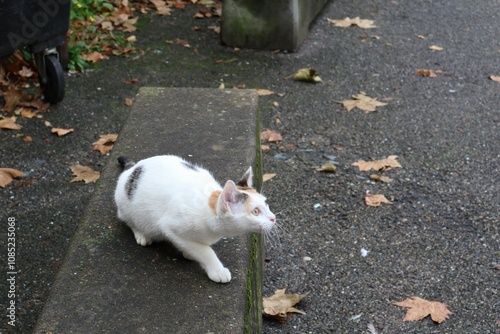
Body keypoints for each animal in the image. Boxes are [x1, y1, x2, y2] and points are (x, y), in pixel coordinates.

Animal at [114, 155, 276, 284]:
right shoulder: (171, 228)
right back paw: (142, 234)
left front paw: (189, 253)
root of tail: (132, 168)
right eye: (255, 211)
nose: (273, 218)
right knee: (128, 219)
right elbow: (204, 250)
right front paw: (217, 269)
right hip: (126, 206)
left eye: (266, 204)